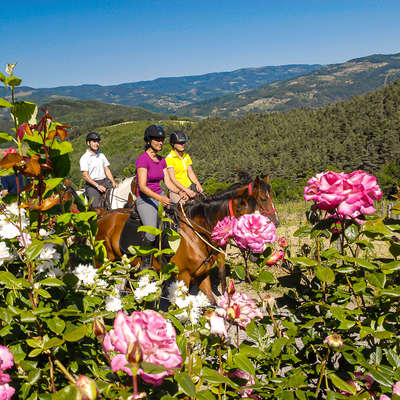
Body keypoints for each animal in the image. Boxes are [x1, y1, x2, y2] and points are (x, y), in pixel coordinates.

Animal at [95, 175, 280, 304]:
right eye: (264, 199)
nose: (276, 222)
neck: (196, 232)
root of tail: (103, 215)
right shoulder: (182, 277)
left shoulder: (203, 272)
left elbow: (213, 297)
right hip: (102, 262)